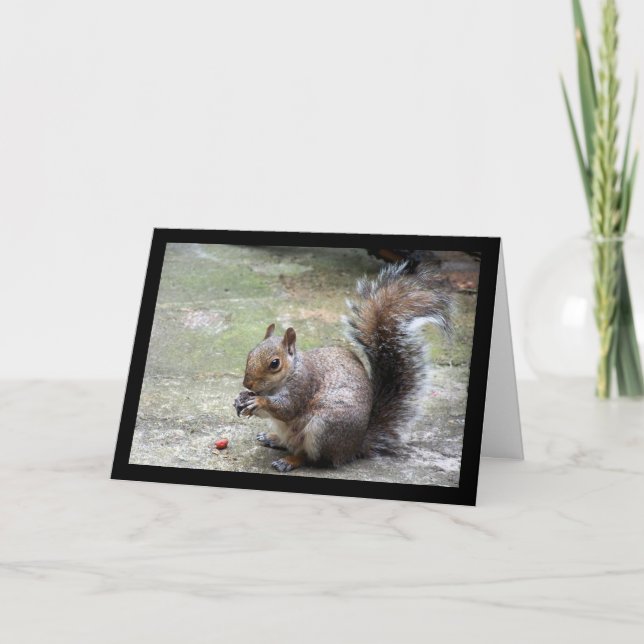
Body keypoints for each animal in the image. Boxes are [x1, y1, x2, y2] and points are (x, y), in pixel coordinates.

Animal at [233, 261, 452, 473]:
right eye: (250, 353)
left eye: (274, 364)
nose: (248, 384)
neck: (284, 378)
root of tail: (354, 447)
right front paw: (241, 399)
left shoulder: (303, 385)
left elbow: (287, 409)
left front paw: (258, 401)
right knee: (289, 443)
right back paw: (272, 438)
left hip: (324, 429)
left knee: (310, 457)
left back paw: (290, 461)